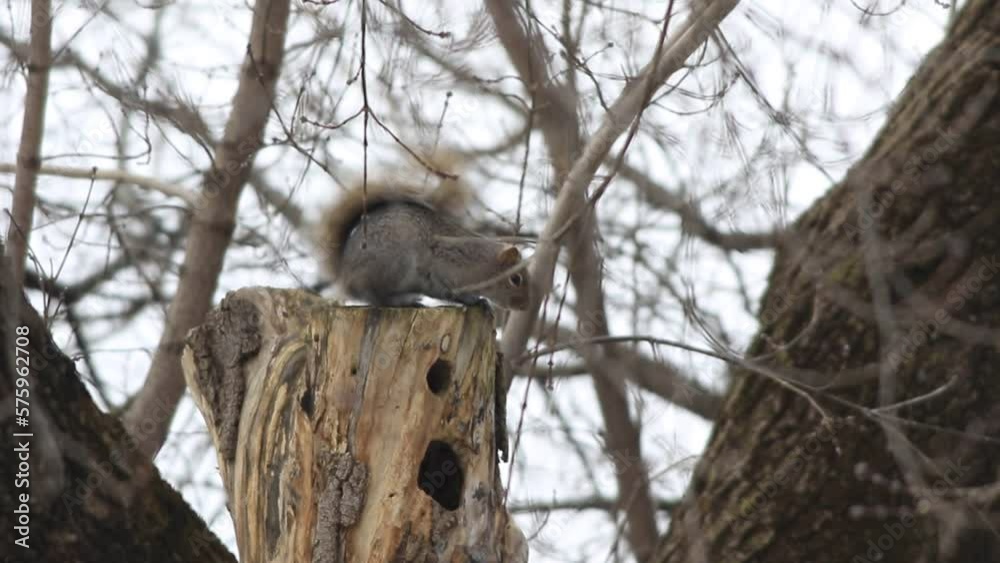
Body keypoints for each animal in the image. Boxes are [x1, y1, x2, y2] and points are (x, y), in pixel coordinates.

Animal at [316, 160, 530, 309]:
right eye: (516, 279)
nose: (523, 307)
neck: (481, 261)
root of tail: (344, 275)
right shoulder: (445, 273)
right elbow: (451, 294)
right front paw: (476, 301)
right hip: (393, 265)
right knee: (377, 298)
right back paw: (403, 301)